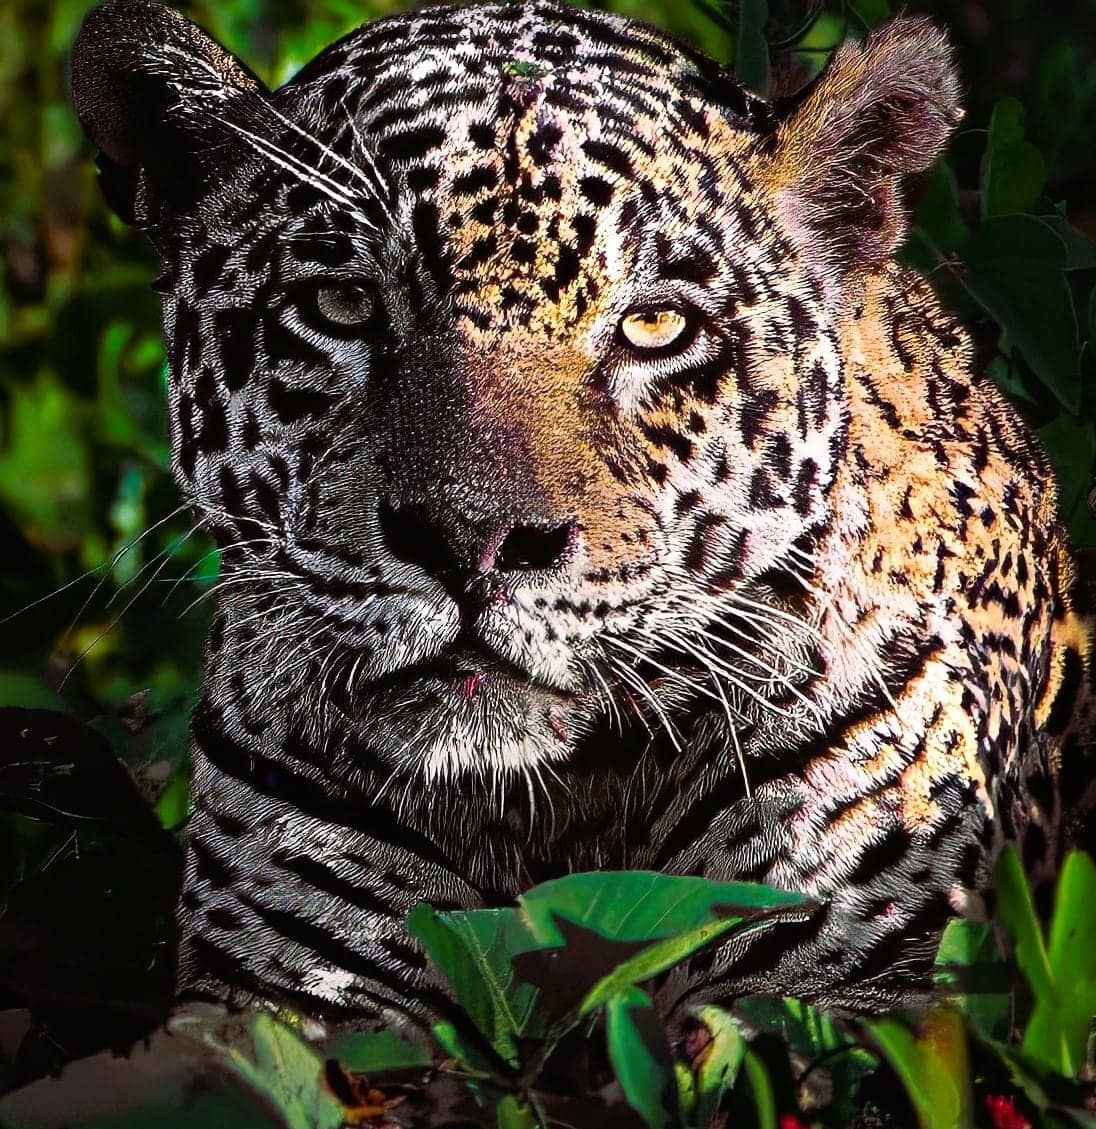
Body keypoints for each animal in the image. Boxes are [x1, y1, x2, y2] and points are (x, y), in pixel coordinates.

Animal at [71, 0, 1093, 1034]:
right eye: (342, 304)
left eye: (656, 327)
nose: (472, 543)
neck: (543, 813)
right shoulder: (282, 990)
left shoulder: (854, 982)